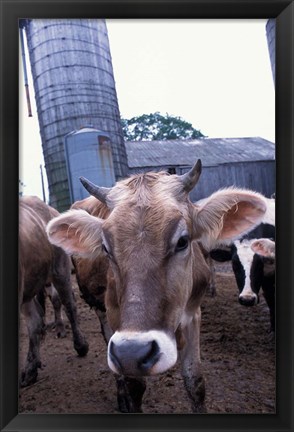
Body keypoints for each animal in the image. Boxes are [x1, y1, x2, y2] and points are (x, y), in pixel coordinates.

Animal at [46, 161, 268, 412]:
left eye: (183, 241)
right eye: (105, 248)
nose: (132, 352)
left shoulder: (193, 313)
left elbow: (195, 382)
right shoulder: (116, 322)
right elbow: (134, 385)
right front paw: (128, 395)